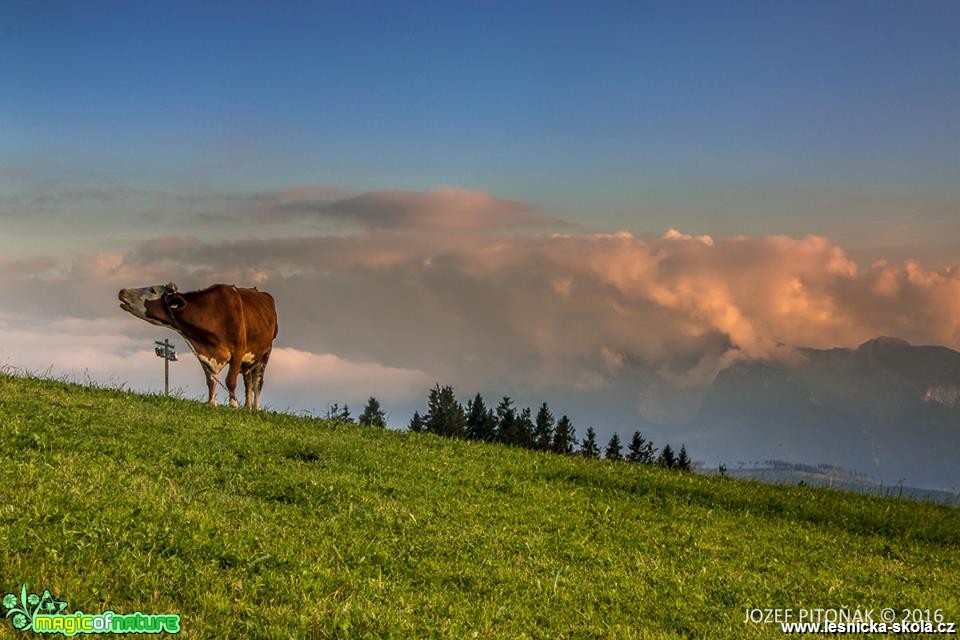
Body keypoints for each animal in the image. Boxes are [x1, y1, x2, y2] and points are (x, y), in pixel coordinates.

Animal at [117, 282, 278, 410]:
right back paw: (247, 407)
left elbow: (230, 381)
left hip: (265, 353)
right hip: (248, 361)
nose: (122, 291)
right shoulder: (204, 353)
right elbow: (210, 380)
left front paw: (233, 405)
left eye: (152, 290)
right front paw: (211, 402)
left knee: (257, 381)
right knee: (247, 380)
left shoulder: (238, 352)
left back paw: (255, 407)